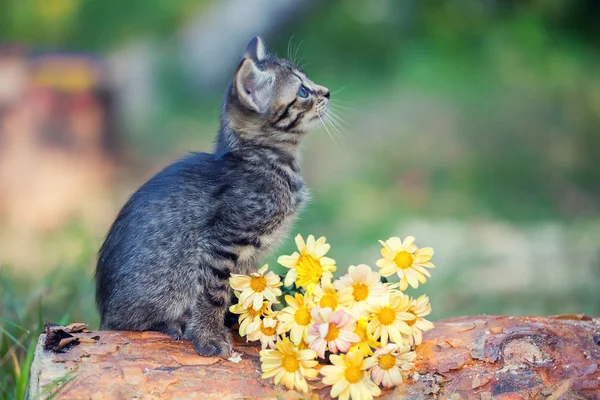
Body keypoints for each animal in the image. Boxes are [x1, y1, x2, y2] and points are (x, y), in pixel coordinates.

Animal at [96, 36, 330, 356]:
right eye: (303, 91)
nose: (327, 92)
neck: (267, 160)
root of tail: (103, 314)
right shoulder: (222, 239)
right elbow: (213, 293)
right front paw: (210, 336)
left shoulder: (247, 257)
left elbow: (244, 289)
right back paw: (172, 324)